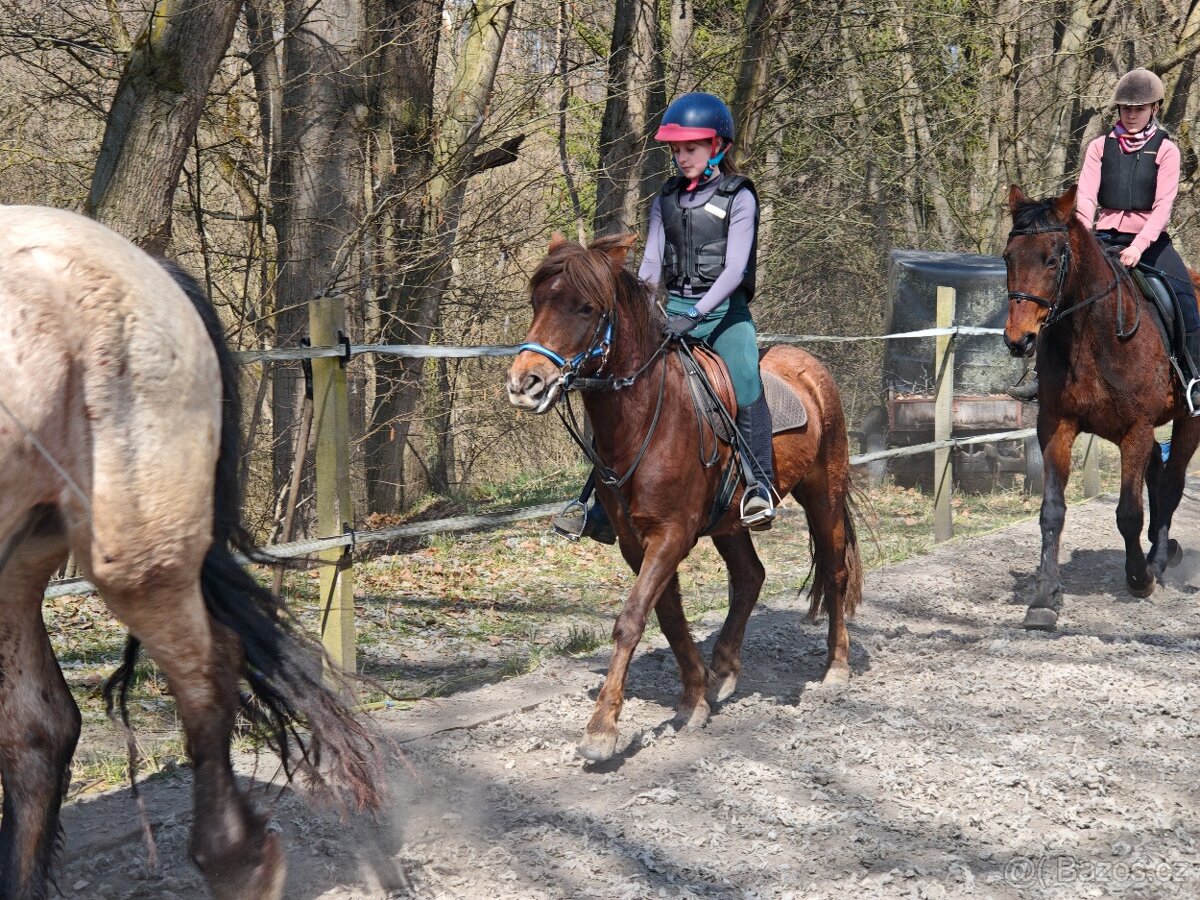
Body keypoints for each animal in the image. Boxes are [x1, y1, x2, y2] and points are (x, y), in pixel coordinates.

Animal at [507, 233, 863, 762]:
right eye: (537, 303)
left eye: (586, 308)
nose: (524, 384)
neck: (646, 418)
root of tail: (811, 369)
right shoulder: (637, 541)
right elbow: (668, 615)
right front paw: (694, 696)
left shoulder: (671, 533)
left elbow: (632, 618)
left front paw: (601, 730)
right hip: (731, 521)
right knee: (750, 576)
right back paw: (725, 669)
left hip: (824, 493)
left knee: (835, 570)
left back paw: (835, 667)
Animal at [1002, 184, 1200, 630]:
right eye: (1008, 257)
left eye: (1051, 259)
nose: (1018, 340)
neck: (1091, 332)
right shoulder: (1056, 425)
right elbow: (1052, 511)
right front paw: (1044, 597)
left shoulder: (1137, 428)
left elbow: (1128, 512)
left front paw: (1139, 579)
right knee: (1158, 472)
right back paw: (1162, 550)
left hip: (1189, 422)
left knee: (1172, 482)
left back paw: (1157, 562)